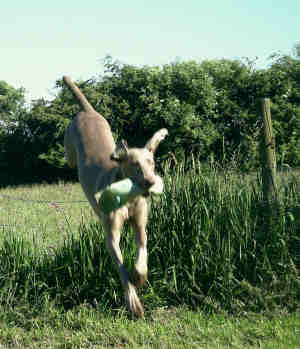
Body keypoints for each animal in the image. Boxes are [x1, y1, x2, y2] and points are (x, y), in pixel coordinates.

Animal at [63, 76, 168, 316]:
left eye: (151, 163)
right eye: (134, 164)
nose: (151, 182)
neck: (129, 198)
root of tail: (87, 111)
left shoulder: (140, 224)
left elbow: (142, 250)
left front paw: (139, 276)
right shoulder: (111, 236)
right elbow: (121, 268)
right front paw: (133, 302)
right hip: (70, 146)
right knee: (70, 158)